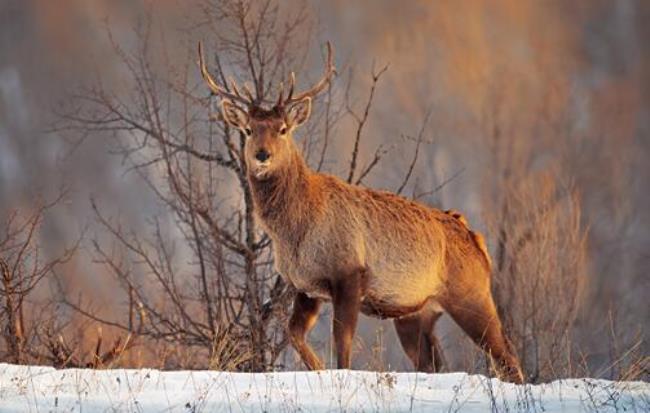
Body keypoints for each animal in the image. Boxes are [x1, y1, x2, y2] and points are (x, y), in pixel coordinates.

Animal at [196, 42, 520, 384]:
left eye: (283, 129)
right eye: (248, 130)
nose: (262, 154)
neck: (295, 230)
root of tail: (476, 239)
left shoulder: (349, 273)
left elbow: (343, 344)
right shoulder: (306, 286)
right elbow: (294, 333)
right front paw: (317, 369)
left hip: (471, 293)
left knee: (508, 356)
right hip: (417, 312)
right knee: (434, 362)